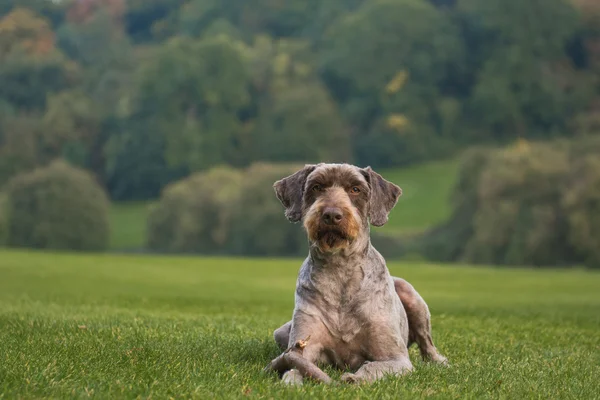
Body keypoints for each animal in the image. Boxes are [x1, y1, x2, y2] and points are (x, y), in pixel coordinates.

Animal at [270, 162, 448, 384]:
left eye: (355, 189)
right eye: (317, 187)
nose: (332, 215)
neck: (340, 268)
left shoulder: (395, 358)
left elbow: (371, 368)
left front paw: (353, 379)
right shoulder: (302, 349)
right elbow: (294, 369)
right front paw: (292, 381)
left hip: (411, 296)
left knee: (427, 343)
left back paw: (439, 361)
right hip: (280, 332)